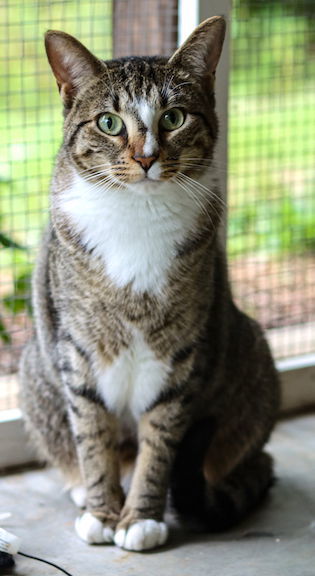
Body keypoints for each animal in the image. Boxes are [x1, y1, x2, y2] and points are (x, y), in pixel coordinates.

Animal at [19, 15, 282, 552]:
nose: (145, 157)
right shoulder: (76, 349)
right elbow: (92, 436)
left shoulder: (182, 355)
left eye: (175, 117)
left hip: (251, 349)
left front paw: (140, 517)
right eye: (109, 123)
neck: (137, 213)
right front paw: (103, 510)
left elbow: (160, 444)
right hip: (34, 363)